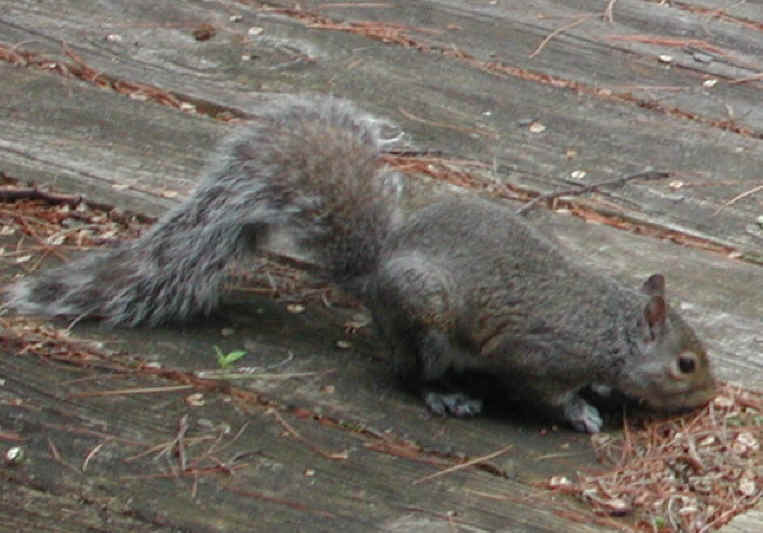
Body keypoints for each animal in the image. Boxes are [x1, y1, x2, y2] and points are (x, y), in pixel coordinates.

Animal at [5, 95, 716, 432]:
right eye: (686, 364)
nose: (708, 398)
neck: (612, 327)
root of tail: (376, 271)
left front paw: (602, 395)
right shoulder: (540, 352)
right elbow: (541, 389)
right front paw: (582, 412)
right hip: (425, 322)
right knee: (408, 374)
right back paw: (447, 396)